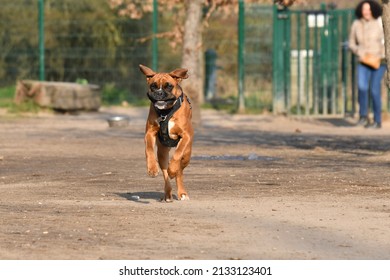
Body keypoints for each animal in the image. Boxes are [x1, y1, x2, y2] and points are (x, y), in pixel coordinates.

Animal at [140, 64, 195, 202]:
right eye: (153, 85)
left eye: (169, 86)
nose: (159, 93)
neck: (166, 112)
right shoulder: (149, 133)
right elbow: (149, 150)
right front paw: (152, 168)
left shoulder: (186, 136)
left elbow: (177, 154)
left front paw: (173, 168)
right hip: (162, 153)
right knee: (165, 174)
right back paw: (168, 194)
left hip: (187, 156)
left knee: (179, 171)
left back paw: (181, 191)